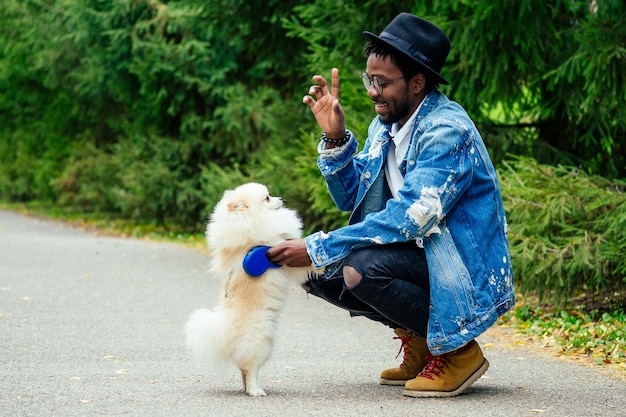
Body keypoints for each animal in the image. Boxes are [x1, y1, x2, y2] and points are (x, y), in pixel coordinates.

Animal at [185, 183, 312, 396]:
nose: (281, 198)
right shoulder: (280, 256)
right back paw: (255, 390)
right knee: (249, 368)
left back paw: (247, 389)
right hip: (260, 342)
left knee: (242, 369)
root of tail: (224, 332)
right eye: (267, 198)